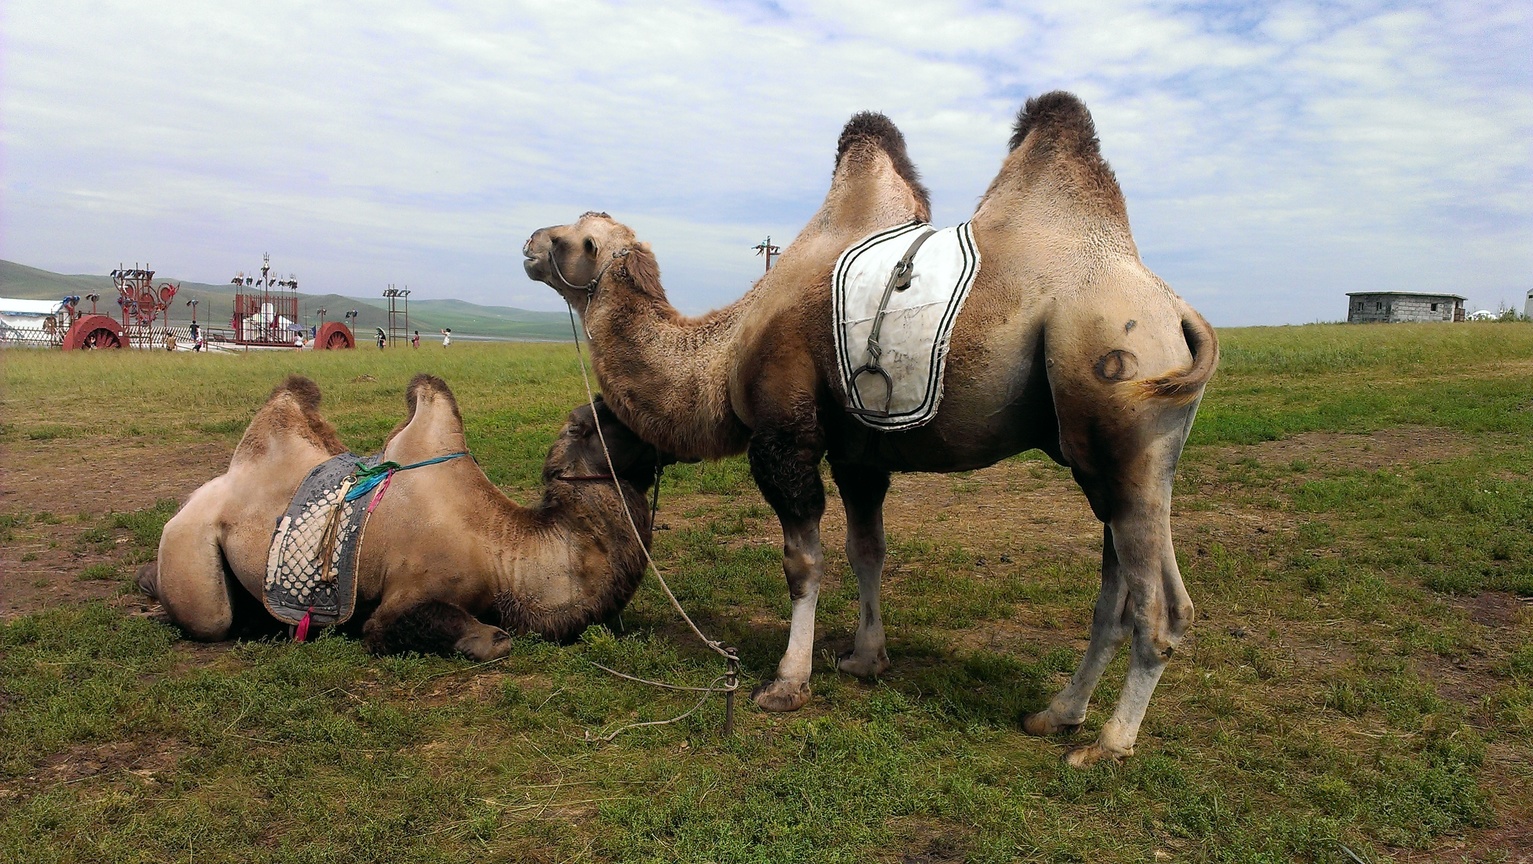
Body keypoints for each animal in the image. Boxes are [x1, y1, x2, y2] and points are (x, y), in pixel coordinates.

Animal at [521, 92, 1214, 762]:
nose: (528, 242)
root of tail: (1177, 312)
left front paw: (787, 682)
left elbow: (804, 562)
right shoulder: (859, 455)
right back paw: (1057, 714)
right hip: (1115, 457)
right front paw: (864, 659)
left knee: (1159, 608)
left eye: (573, 239)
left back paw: (1108, 744)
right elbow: (867, 550)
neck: (724, 348)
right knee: (1121, 593)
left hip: (1117, 402)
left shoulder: (784, 437)